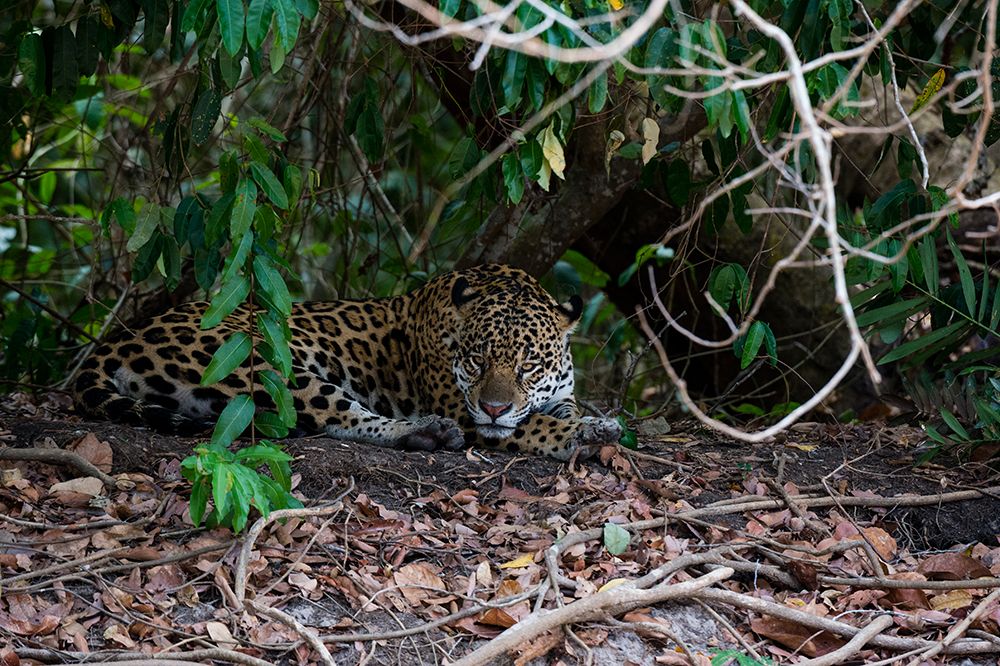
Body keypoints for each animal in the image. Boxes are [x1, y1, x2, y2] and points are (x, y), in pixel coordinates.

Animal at [72, 264, 622, 459]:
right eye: (477, 361)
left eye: (529, 366)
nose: (493, 407)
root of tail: (118, 341)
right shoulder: (463, 406)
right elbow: (531, 427)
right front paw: (578, 436)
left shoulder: (556, 393)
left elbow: (560, 410)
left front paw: (592, 425)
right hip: (268, 366)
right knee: (340, 418)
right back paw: (425, 432)